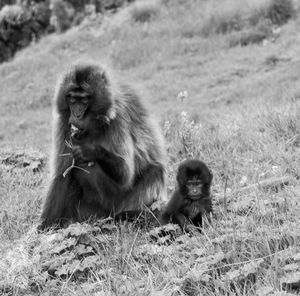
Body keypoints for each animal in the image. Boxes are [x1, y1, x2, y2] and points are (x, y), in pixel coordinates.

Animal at [38, 61, 166, 229]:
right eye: (72, 99)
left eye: (84, 100)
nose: (76, 115)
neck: (95, 124)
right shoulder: (64, 124)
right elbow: (62, 175)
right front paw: (42, 229)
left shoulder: (119, 118)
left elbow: (126, 174)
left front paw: (90, 151)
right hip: (89, 212)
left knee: (155, 171)